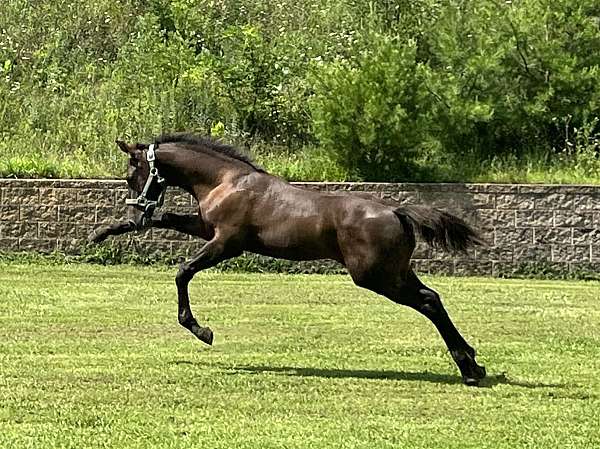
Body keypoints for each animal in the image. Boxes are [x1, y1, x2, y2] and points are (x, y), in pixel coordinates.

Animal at [92, 133, 488, 384]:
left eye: (132, 175)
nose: (138, 210)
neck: (226, 180)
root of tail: (397, 211)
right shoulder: (205, 228)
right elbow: (166, 220)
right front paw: (103, 232)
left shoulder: (226, 243)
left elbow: (183, 272)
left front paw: (201, 330)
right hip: (396, 273)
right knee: (433, 298)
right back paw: (473, 362)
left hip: (377, 278)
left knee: (428, 302)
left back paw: (468, 368)